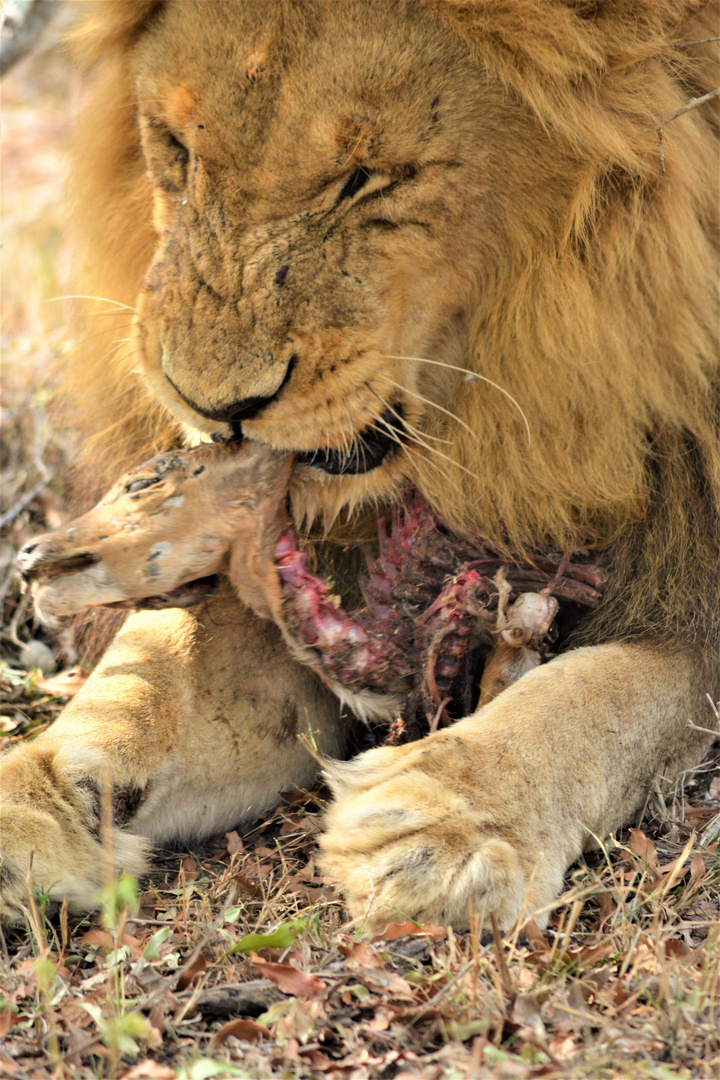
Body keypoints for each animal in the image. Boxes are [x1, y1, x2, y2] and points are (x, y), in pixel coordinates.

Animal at [1, 0, 720, 928]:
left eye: (368, 178)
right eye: (178, 150)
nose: (213, 405)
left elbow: (603, 691)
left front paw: (450, 818)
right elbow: (156, 665)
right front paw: (40, 788)